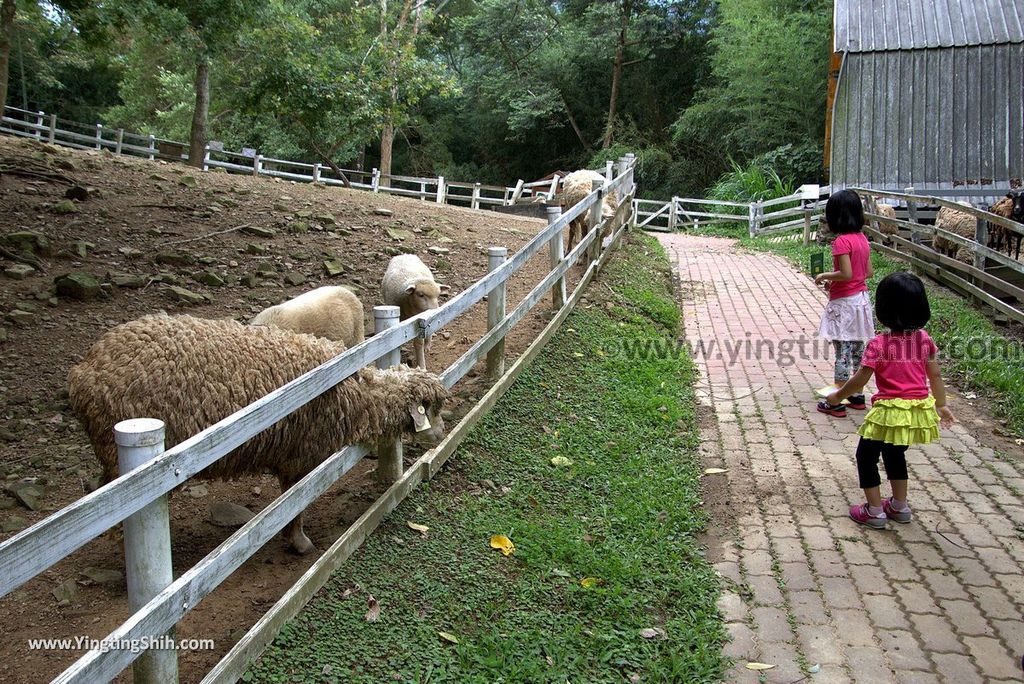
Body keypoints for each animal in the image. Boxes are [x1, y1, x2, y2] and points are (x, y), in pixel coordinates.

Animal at [68, 315, 444, 557]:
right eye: (430, 408)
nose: (441, 434)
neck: (357, 392)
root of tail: (83, 370)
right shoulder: (299, 458)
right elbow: (295, 506)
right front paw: (299, 543)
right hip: (120, 454)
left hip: (109, 455)